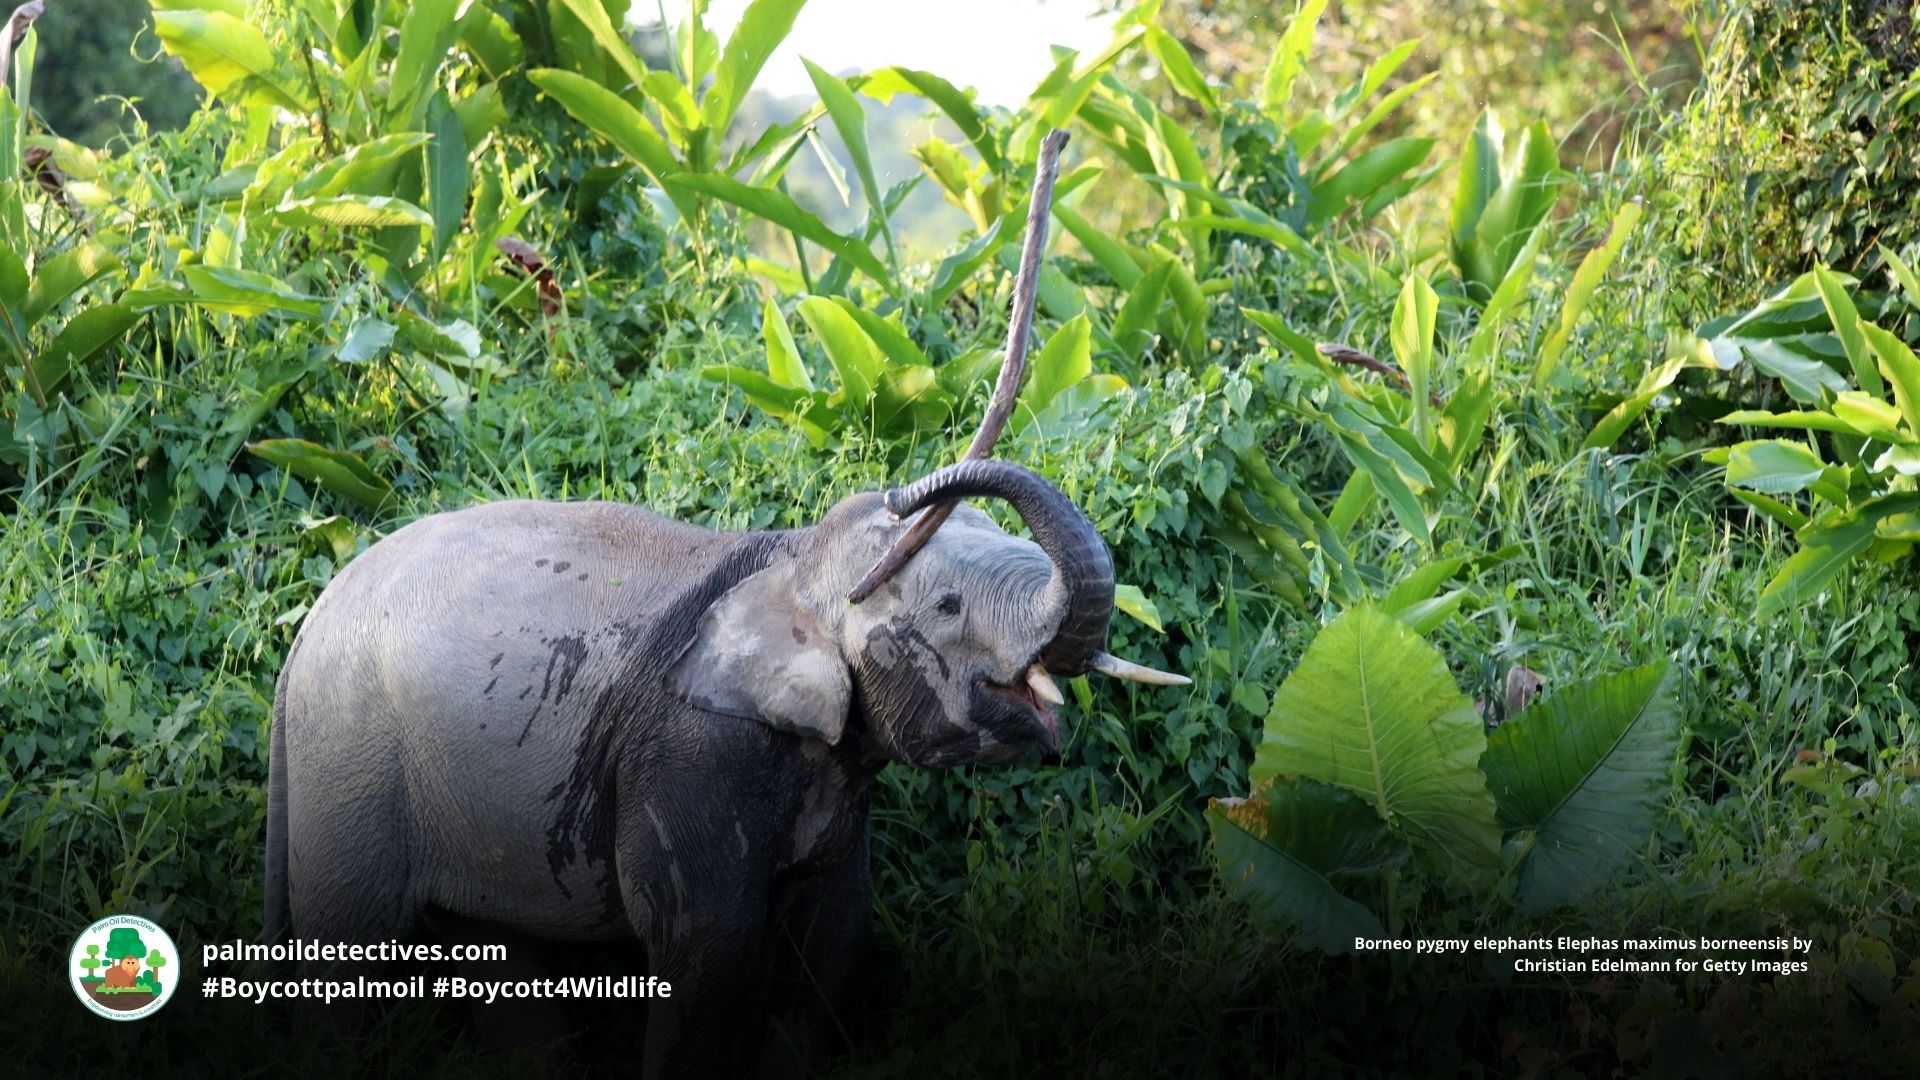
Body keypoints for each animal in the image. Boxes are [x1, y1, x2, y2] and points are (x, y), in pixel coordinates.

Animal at [265, 459, 1185, 1076]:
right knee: (350, 953)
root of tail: (298, 646)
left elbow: (836, 937)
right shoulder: (691, 754)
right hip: (351, 762)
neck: (793, 560)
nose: (901, 492)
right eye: (949, 605)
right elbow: (712, 952)